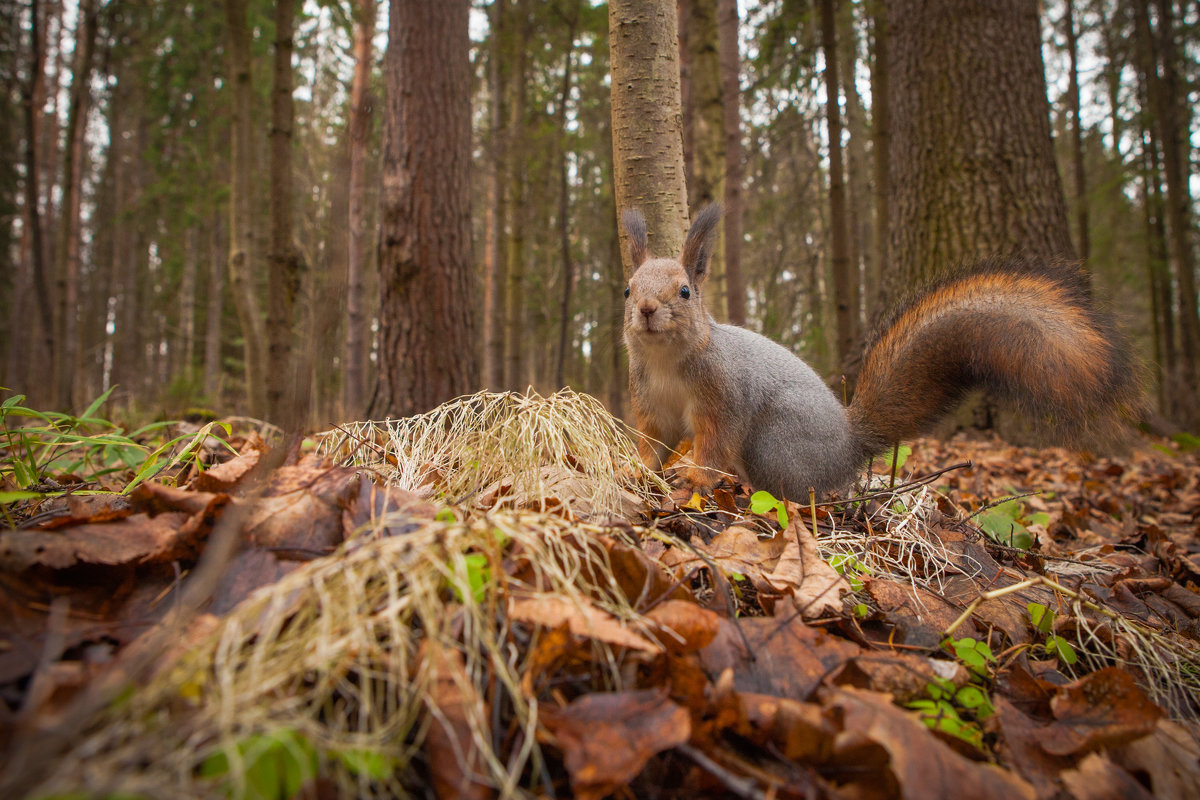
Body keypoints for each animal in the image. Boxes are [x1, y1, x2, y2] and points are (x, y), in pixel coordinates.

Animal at [624, 203, 1137, 496]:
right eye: (628, 289)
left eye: (685, 291)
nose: (646, 309)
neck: (668, 361)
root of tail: (849, 444)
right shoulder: (652, 402)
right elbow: (655, 441)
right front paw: (638, 470)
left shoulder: (723, 396)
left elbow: (713, 444)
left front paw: (693, 478)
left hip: (777, 443)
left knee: (797, 495)